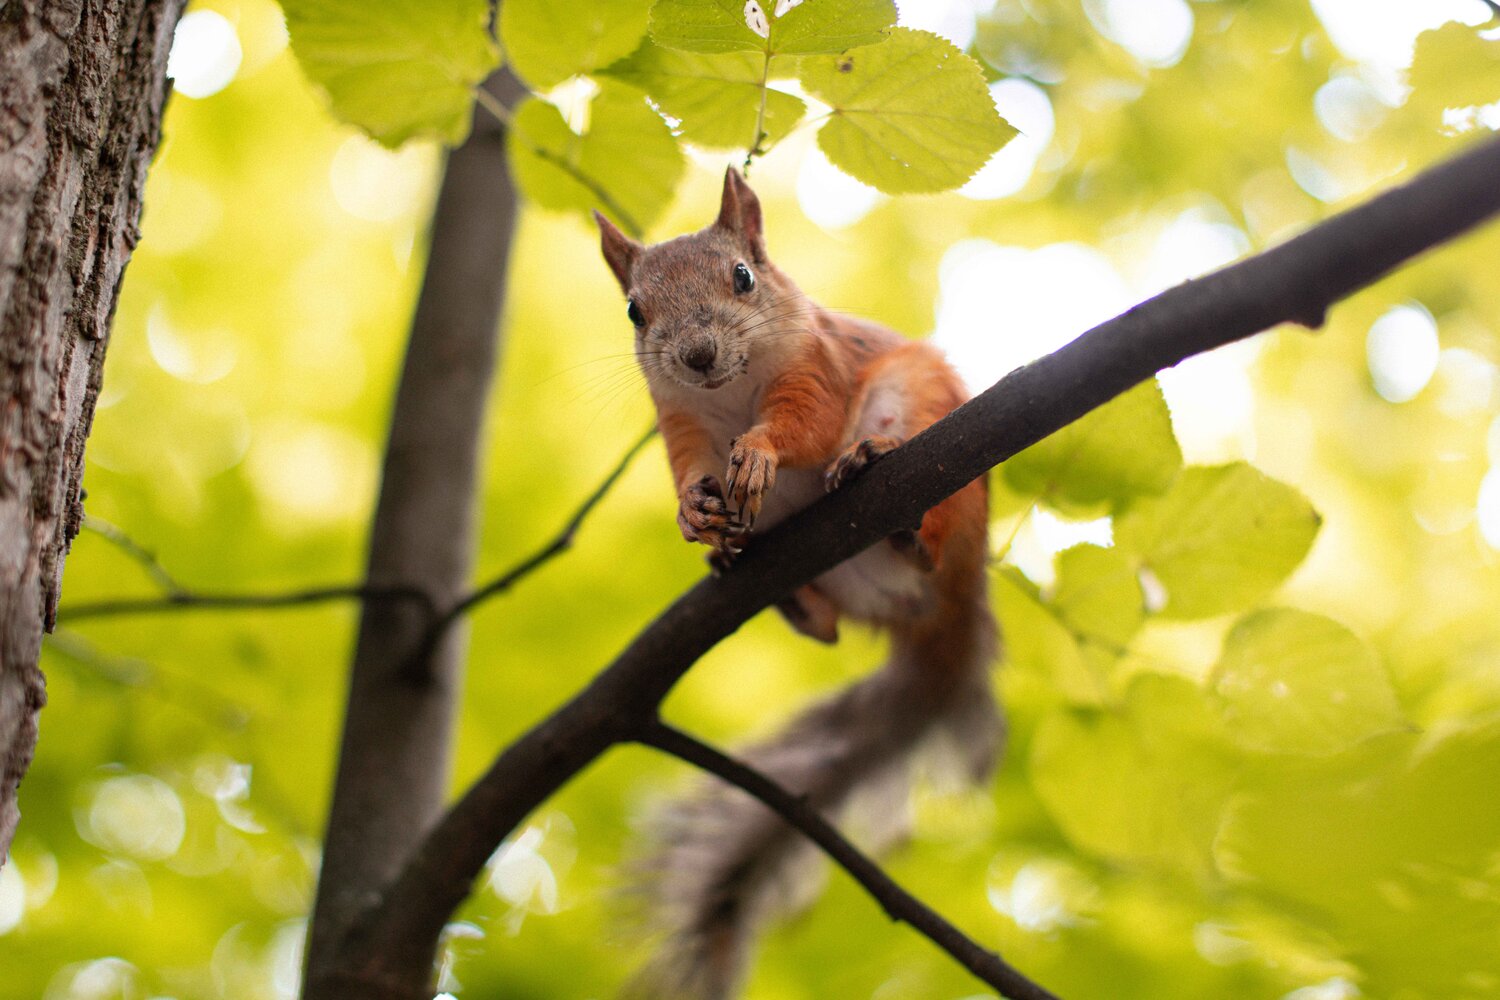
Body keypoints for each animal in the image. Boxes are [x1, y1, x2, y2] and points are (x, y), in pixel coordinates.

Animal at [596, 168, 1001, 1000]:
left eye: (743, 278)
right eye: (634, 310)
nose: (697, 354)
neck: (726, 394)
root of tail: (953, 615)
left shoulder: (820, 365)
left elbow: (804, 424)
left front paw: (760, 451)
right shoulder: (677, 422)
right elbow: (688, 471)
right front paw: (694, 513)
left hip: (922, 430)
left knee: (925, 544)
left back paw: (883, 486)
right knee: (832, 627)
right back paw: (783, 594)